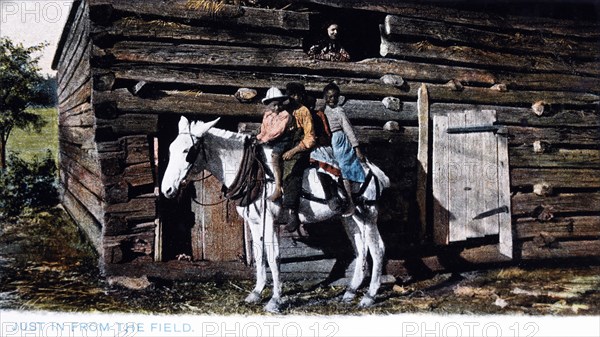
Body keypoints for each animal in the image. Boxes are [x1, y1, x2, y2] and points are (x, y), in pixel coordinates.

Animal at [162, 116, 392, 312]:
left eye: (187, 150)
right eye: (171, 149)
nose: (167, 190)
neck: (256, 173)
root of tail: (373, 169)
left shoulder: (269, 221)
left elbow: (274, 257)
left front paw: (274, 300)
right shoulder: (254, 222)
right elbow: (259, 254)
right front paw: (256, 293)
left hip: (368, 216)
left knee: (377, 249)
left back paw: (369, 296)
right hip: (351, 218)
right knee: (361, 248)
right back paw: (350, 292)